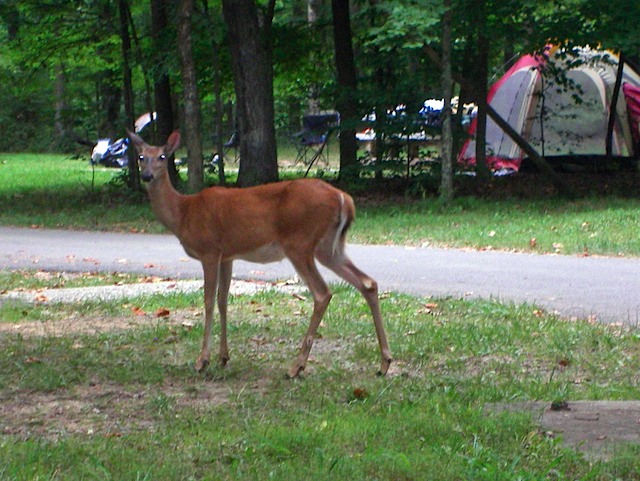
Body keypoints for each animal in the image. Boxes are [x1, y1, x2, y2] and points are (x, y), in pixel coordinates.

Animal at [127, 129, 392, 376]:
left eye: (162, 157)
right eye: (141, 157)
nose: (147, 175)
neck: (183, 213)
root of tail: (344, 198)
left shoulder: (209, 250)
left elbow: (208, 301)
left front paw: (203, 360)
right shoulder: (227, 255)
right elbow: (223, 300)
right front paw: (224, 357)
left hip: (299, 243)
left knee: (322, 293)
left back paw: (297, 366)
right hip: (330, 247)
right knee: (367, 283)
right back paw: (384, 363)